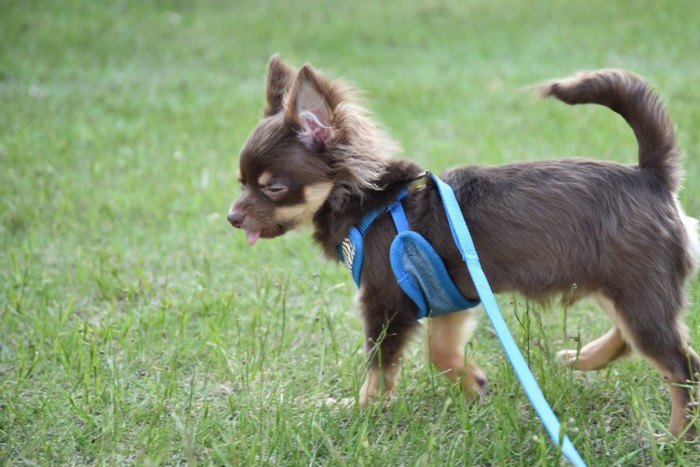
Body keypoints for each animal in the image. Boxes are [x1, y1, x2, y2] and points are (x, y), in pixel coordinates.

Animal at [228, 54, 700, 438]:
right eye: (241, 183)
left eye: (273, 187)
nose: (233, 217)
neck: (372, 204)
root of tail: (650, 175)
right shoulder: (446, 297)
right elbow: (440, 352)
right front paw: (473, 385)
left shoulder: (386, 304)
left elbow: (379, 368)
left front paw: (361, 410)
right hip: (619, 286)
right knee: (645, 342)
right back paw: (582, 359)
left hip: (636, 289)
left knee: (681, 366)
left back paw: (676, 436)